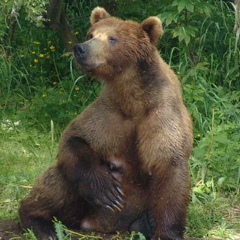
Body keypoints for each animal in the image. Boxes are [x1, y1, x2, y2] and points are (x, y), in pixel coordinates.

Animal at [18, 6, 193, 239]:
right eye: (91, 34)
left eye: (113, 39)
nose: (81, 48)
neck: (132, 99)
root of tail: (100, 225)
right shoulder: (109, 114)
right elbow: (75, 139)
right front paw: (107, 191)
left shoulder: (161, 114)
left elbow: (169, 169)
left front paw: (167, 232)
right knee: (58, 179)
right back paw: (41, 224)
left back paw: (145, 223)